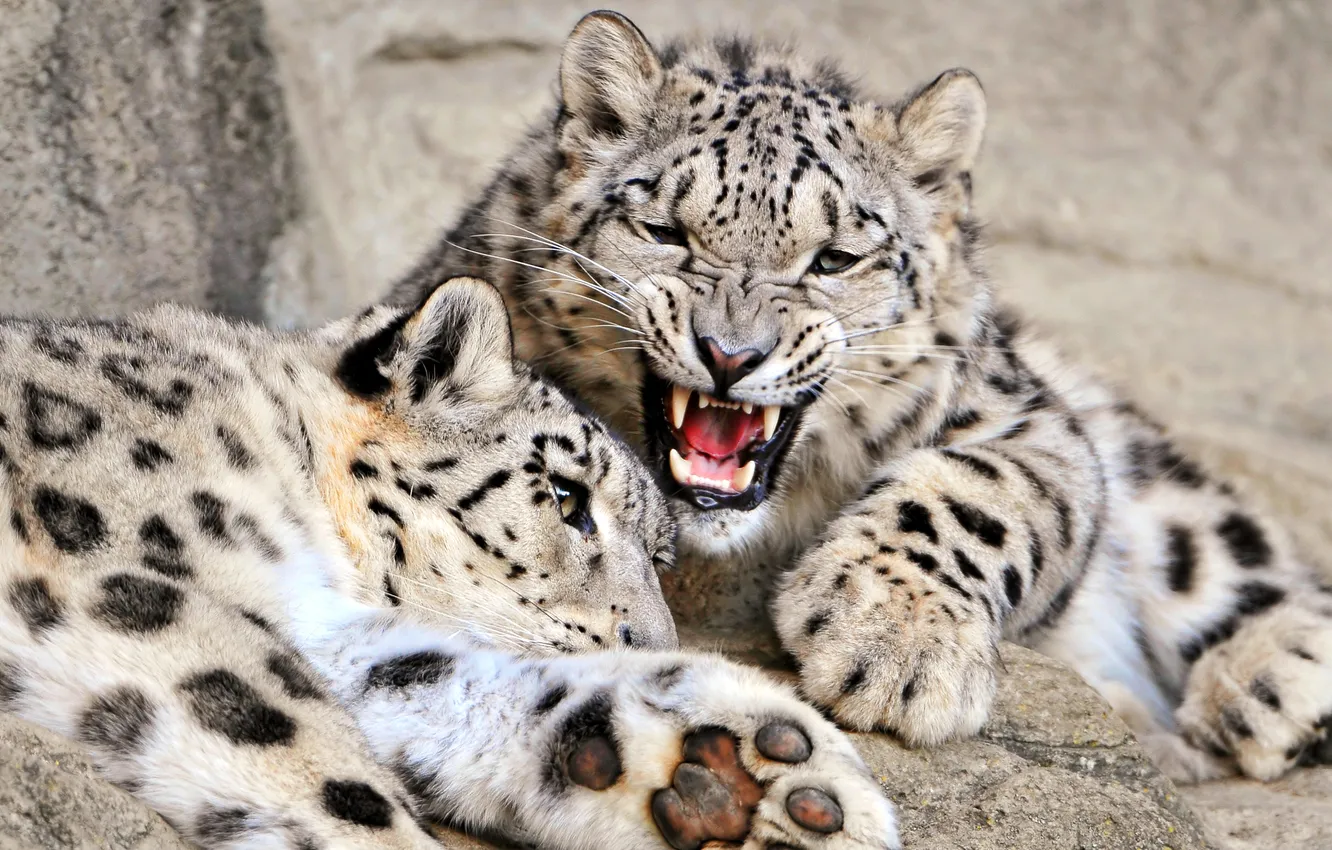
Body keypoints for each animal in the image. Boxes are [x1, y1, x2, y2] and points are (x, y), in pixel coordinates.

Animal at [0, 276, 899, 849]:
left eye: (660, 553)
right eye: (566, 495)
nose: (648, 640)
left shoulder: (316, 624)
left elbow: (428, 673)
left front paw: (747, 772)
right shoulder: (129, 580)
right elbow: (304, 749)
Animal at [390, 10, 1332, 784]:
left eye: (836, 258)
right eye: (664, 230)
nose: (730, 354)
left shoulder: (1033, 421)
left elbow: (975, 491)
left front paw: (895, 646)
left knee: (1228, 543)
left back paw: (1268, 688)